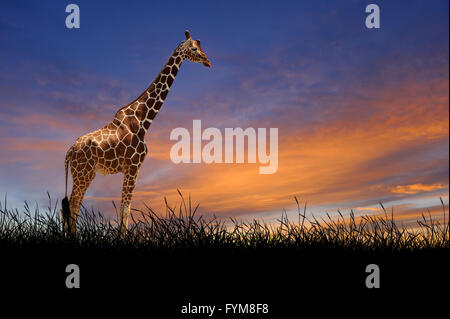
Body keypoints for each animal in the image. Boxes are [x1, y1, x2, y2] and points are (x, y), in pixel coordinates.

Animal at [60, 31, 213, 239]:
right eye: (194, 48)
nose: (207, 61)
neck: (143, 121)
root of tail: (69, 151)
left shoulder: (132, 168)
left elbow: (125, 207)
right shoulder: (133, 166)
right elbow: (125, 208)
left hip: (82, 174)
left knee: (69, 206)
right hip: (84, 173)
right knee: (74, 205)